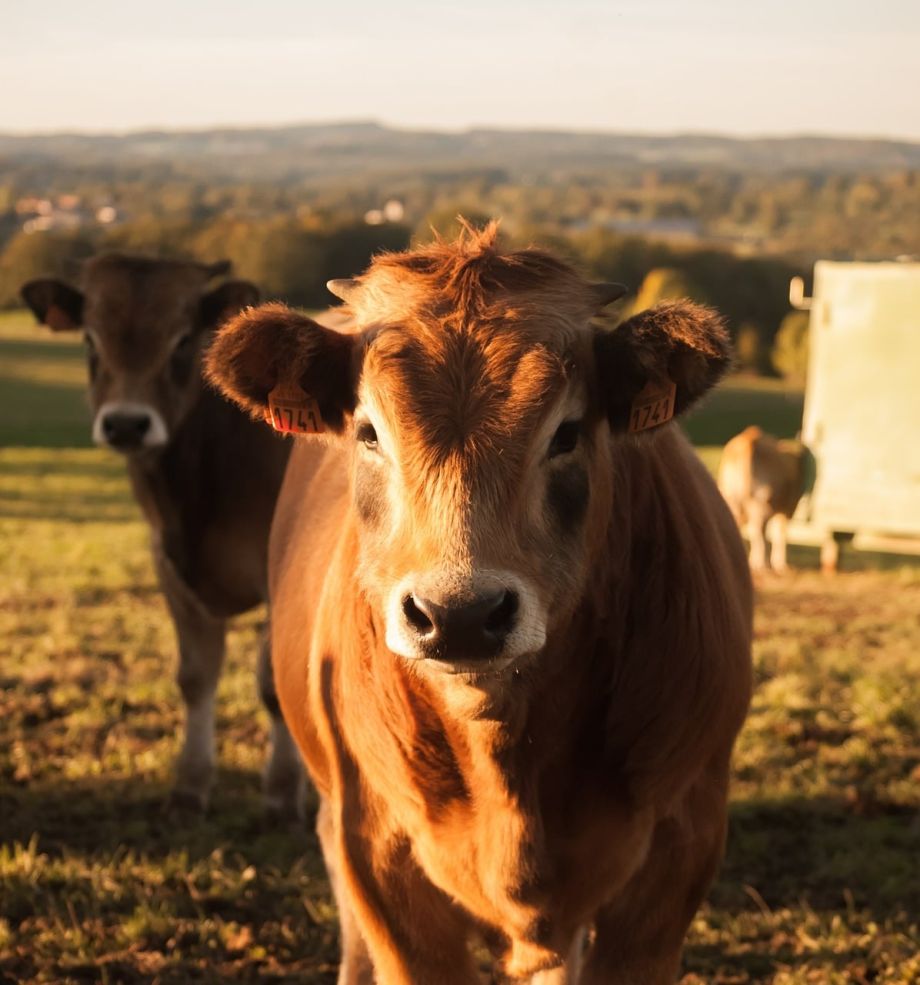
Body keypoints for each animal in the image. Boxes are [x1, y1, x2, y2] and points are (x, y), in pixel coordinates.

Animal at [21, 254, 302, 816]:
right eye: (90, 338)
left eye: (183, 340)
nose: (127, 424)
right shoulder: (167, 565)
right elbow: (195, 675)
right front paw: (190, 786)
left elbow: (272, 682)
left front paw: (282, 792)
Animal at [720, 424, 804, 576]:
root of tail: (747, 443)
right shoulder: (786, 509)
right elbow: (780, 534)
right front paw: (780, 565)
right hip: (759, 503)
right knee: (757, 531)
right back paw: (760, 566)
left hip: (730, 499)